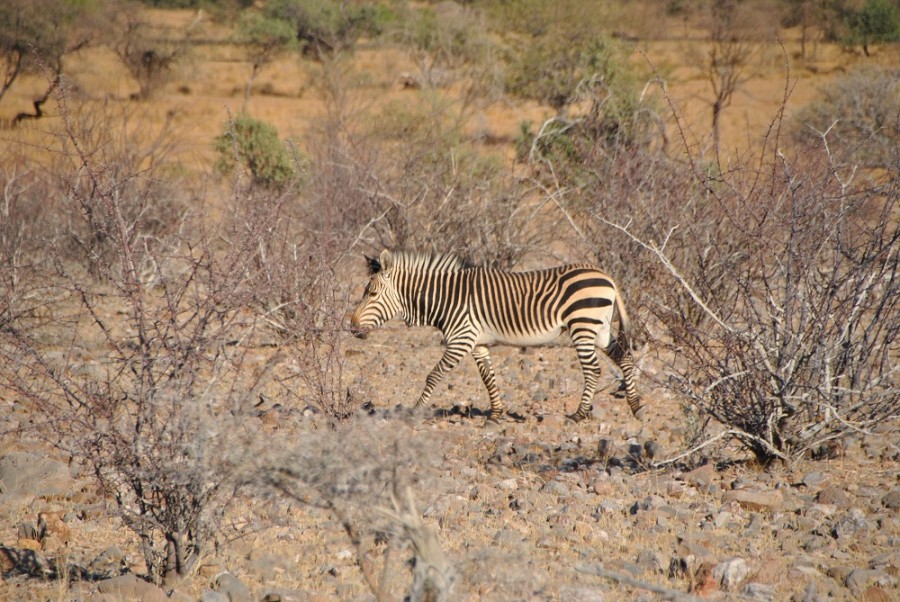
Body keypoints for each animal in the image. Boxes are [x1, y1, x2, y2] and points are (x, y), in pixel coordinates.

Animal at [348, 248, 644, 422]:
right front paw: (496, 414)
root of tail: (608, 277)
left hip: (583, 325)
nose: (351, 327)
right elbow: (488, 377)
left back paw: (578, 415)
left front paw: (414, 411)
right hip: (600, 329)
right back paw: (636, 407)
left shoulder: (461, 338)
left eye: (372, 294)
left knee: (593, 370)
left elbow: (433, 375)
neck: (445, 297)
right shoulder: (477, 342)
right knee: (625, 358)